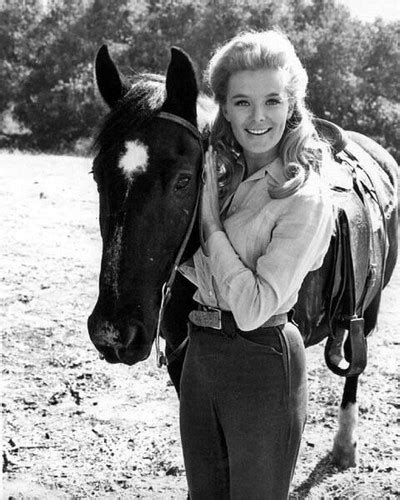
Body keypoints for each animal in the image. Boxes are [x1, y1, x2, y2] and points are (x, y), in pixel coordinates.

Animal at [86, 44, 396, 468]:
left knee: (353, 364)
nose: (112, 333)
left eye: (184, 180)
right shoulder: (182, 360)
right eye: (97, 176)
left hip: (368, 308)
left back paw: (345, 444)